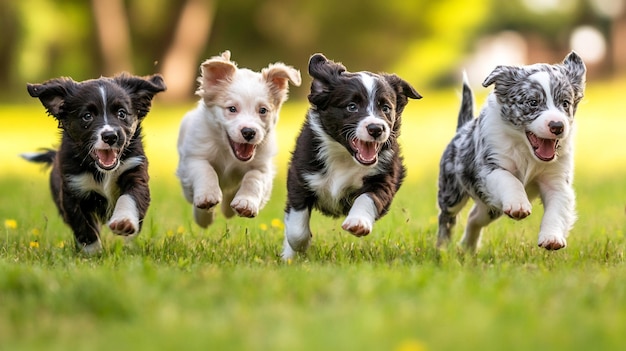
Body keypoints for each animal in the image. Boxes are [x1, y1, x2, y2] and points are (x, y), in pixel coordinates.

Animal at [23, 74, 166, 254]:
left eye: (121, 113)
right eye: (87, 116)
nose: (110, 136)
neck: (103, 171)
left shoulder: (135, 171)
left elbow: (130, 197)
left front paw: (124, 221)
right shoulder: (73, 189)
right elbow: (82, 224)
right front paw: (92, 251)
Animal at [176, 51, 302, 228]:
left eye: (263, 110)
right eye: (232, 109)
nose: (249, 132)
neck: (229, 154)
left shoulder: (263, 168)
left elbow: (253, 179)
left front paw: (246, 203)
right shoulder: (194, 157)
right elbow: (206, 171)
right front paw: (208, 197)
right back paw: (204, 217)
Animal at [282, 53, 420, 260]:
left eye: (386, 108)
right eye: (352, 107)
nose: (376, 129)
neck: (344, 157)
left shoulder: (384, 176)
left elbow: (368, 197)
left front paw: (358, 222)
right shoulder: (300, 176)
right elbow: (296, 226)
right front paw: (299, 246)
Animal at [436, 51, 584, 252]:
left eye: (565, 103)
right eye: (533, 102)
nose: (557, 126)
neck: (526, 151)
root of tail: (462, 128)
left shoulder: (557, 180)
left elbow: (557, 209)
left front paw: (552, 238)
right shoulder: (490, 167)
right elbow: (510, 180)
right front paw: (518, 204)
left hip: (490, 208)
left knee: (474, 217)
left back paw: (468, 247)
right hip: (452, 192)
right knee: (446, 218)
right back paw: (442, 248)